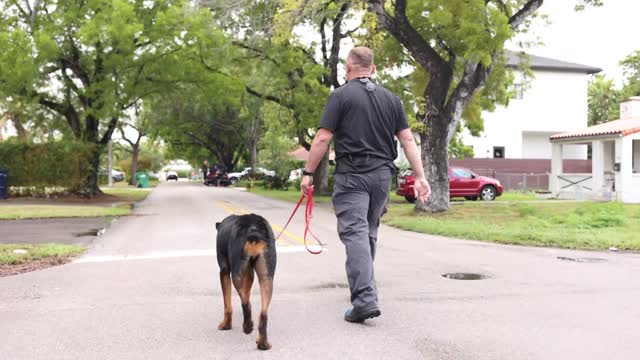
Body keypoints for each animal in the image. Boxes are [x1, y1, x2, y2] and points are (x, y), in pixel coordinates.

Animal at [216, 215, 276, 350]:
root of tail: (254, 230)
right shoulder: (249, 273)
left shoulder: (224, 270)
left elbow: (227, 304)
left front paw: (226, 325)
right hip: (267, 276)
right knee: (263, 313)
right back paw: (263, 343)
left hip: (236, 273)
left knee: (245, 302)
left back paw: (247, 326)